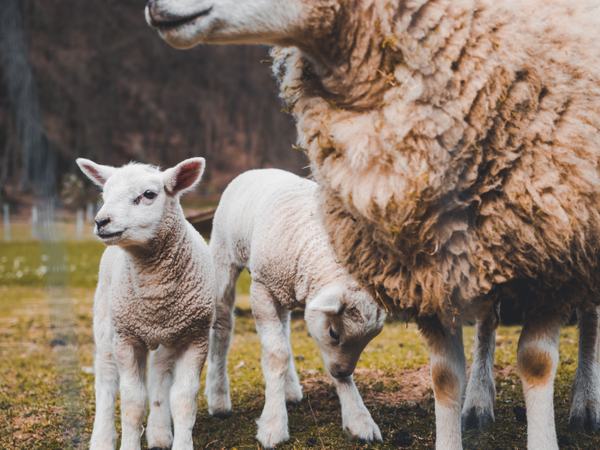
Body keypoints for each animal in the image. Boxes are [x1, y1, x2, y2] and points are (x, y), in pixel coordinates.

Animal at [76, 157, 214, 450]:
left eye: (149, 194)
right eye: (104, 195)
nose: (101, 221)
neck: (155, 294)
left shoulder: (196, 337)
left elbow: (183, 400)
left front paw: (180, 442)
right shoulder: (126, 339)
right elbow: (132, 401)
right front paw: (129, 443)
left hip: (168, 337)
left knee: (159, 374)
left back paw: (159, 434)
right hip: (106, 322)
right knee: (106, 377)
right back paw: (102, 439)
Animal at [206, 169, 384, 446]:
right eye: (334, 333)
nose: (341, 370)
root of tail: (256, 171)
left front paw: (359, 419)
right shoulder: (262, 289)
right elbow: (276, 355)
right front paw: (273, 424)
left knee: (283, 331)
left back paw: (289, 390)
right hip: (224, 258)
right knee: (223, 325)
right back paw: (218, 401)